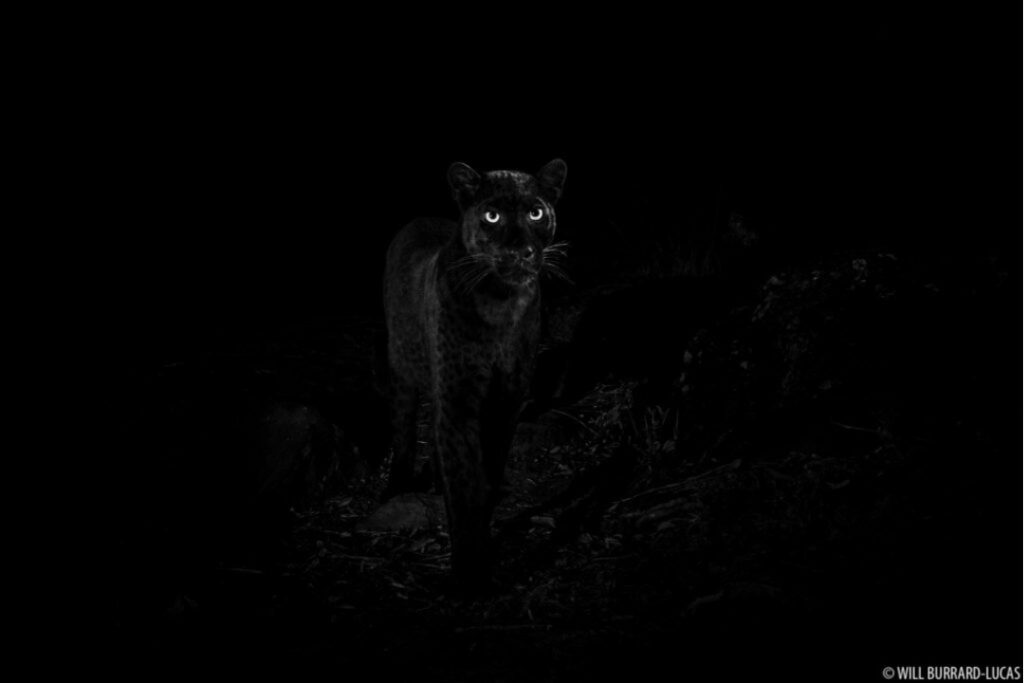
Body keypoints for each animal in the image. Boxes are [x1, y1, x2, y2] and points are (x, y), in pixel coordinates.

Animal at [383, 158, 568, 587]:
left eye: (536, 213)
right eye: (492, 215)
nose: (519, 251)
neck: (501, 303)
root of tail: (418, 217)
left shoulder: (506, 401)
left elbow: (488, 472)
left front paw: (483, 534)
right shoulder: (458, 400)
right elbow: (464, 479)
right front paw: (470, 571)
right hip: (401, 368)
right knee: (402, 427)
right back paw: (397, 485)